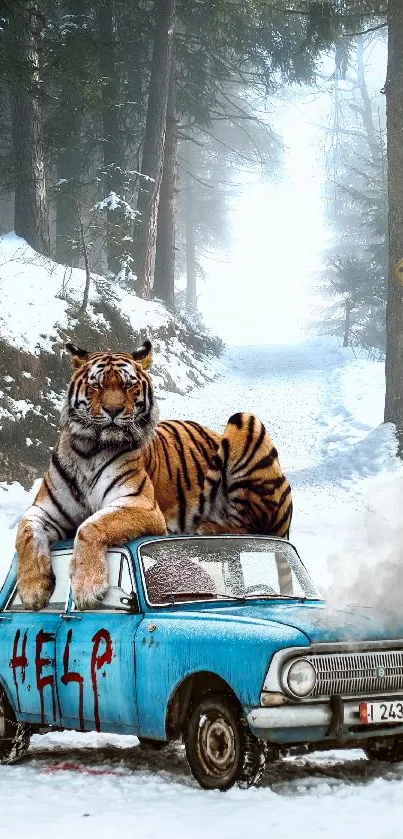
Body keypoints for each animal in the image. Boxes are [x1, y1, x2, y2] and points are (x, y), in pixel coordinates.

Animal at [16, 340, 294, 612]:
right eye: (96, 385)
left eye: (129, 385)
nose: (113, 410)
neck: (89, 450)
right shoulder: (46, 510)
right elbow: (26, 532)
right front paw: (32, 591)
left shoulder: (140, 505)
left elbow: (90, 526)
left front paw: (87, 589)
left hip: (245, 422)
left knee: (252, 526)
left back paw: (206, 526)